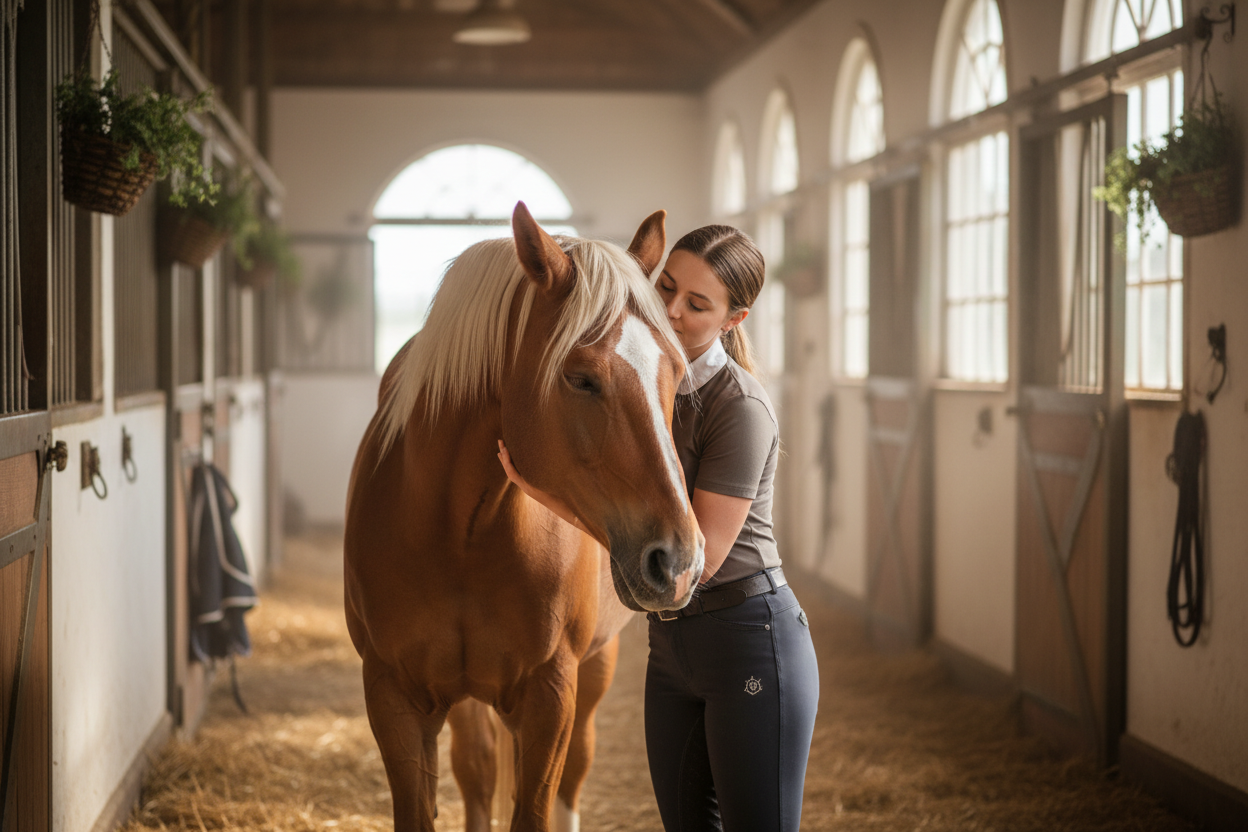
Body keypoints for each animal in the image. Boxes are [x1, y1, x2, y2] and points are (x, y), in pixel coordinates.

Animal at [344, 202, 705, 832]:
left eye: (676, 376)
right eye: (581, 378)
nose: (678, 561)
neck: (460, 535)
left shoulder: (550, 695)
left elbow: (536, 806)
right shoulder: (393, 697)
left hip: (593, 670)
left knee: (572, 774)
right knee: (478, 771)